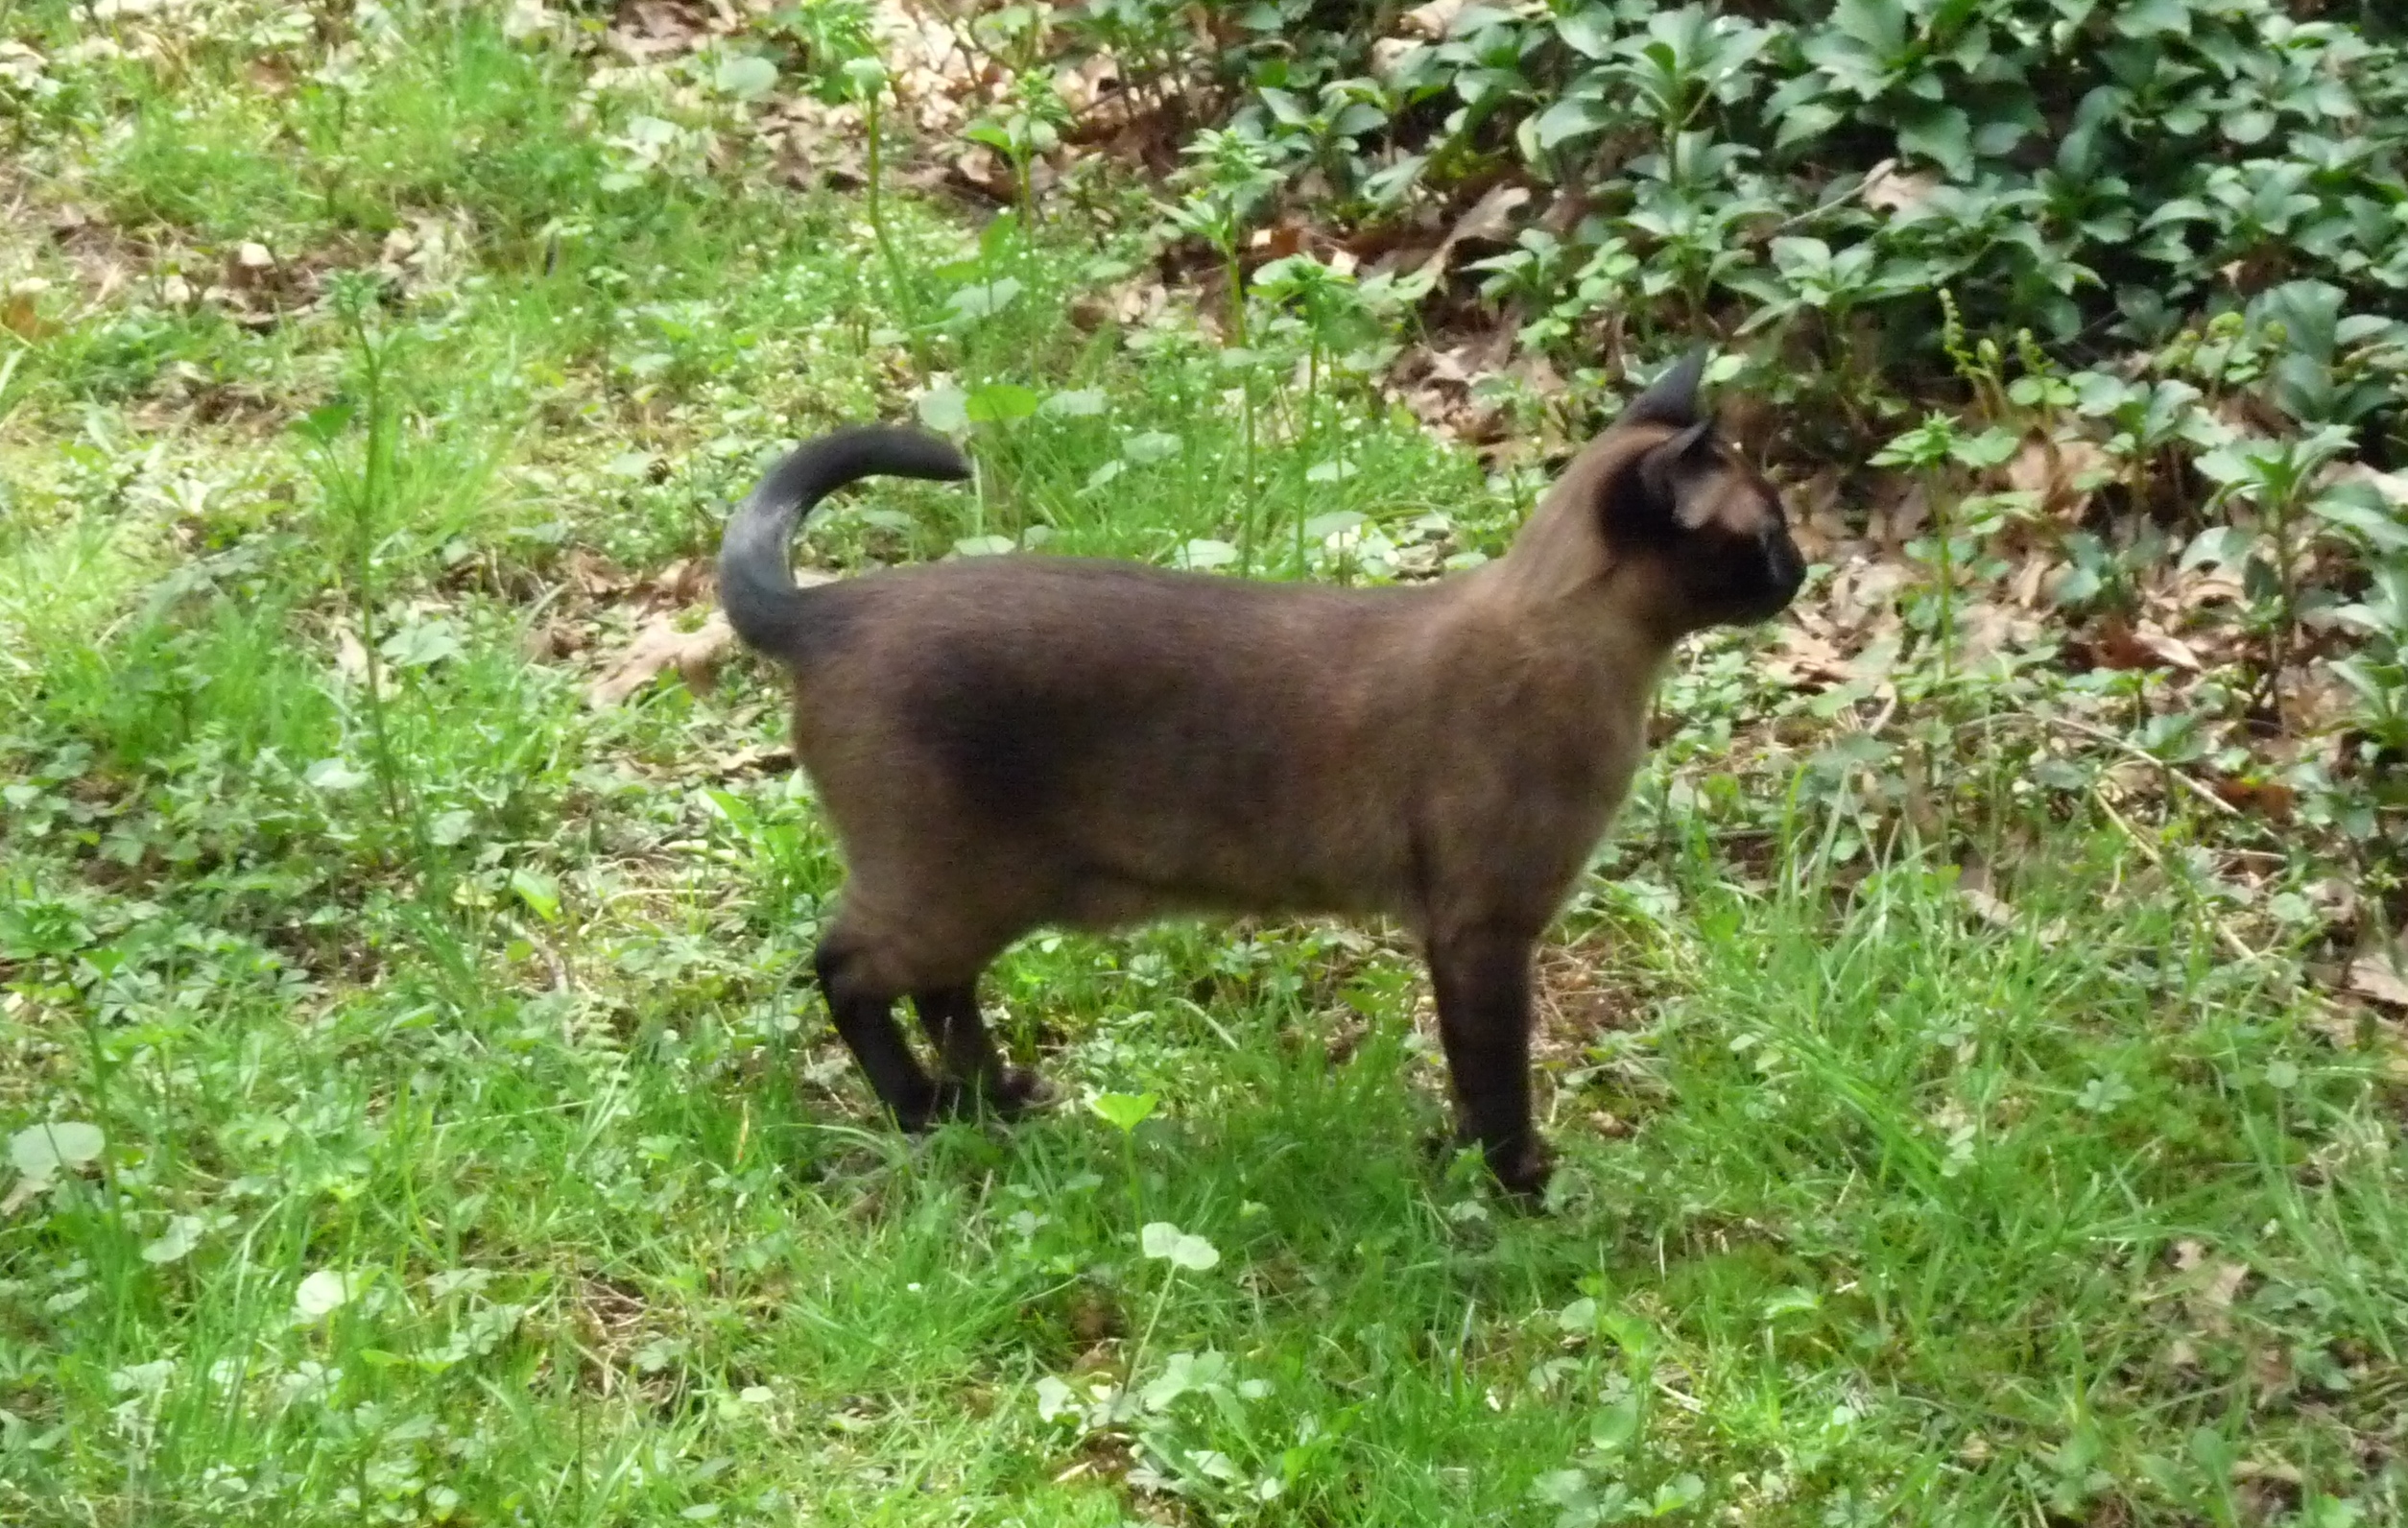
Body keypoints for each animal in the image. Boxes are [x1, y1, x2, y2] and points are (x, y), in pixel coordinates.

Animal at [722, 348, 1800, 1193]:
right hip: (952, 886)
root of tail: (828, 611)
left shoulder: (1463, 940)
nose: (1800, 572)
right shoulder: (1482, 932)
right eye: (1766, 532)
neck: (1600, 664)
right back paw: (923, 1112)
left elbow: (1466, 1081)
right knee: (844, 969)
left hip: (999, 892)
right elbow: (1495, 1082)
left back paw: (998, 1100)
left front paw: (1456, 1168)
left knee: (941, 988)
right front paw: (1517, 1188)